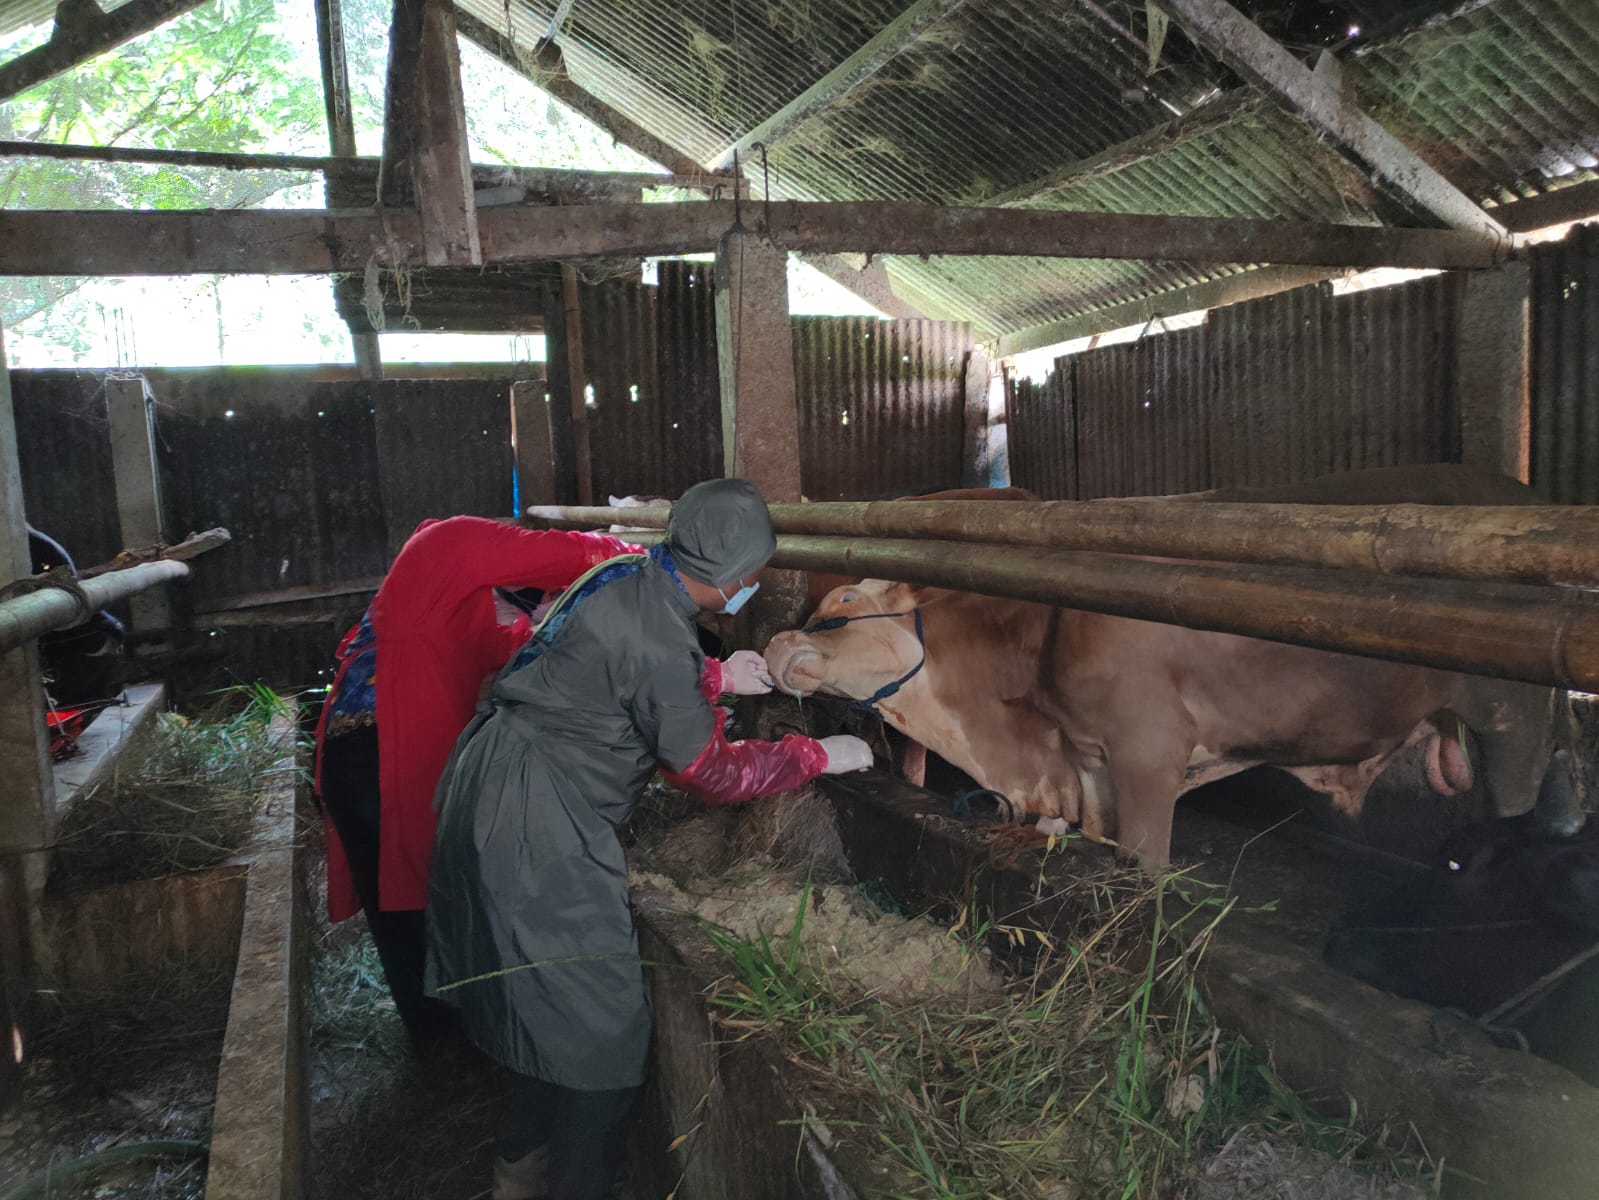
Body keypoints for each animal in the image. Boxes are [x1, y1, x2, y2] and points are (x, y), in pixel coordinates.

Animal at [764, 464, 1573, 870]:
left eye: (841, 601)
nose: (774, 648)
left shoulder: (1147, 753)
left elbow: (1144, 868)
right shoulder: (1090, 767)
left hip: (1513, 719)